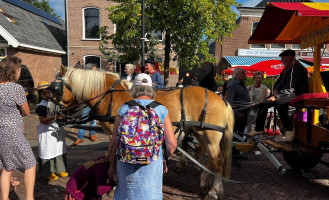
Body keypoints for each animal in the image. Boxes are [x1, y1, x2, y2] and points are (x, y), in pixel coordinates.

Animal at [57, 67, 234, 200]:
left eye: (57, 88)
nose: (56, 114)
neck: (111, 96)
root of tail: (222, 99)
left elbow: (113, 158)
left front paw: (113, 186)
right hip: (200, 134)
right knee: (210, 158)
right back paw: (205, 184)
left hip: (210, 135)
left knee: (217, 160)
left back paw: (213, 192)